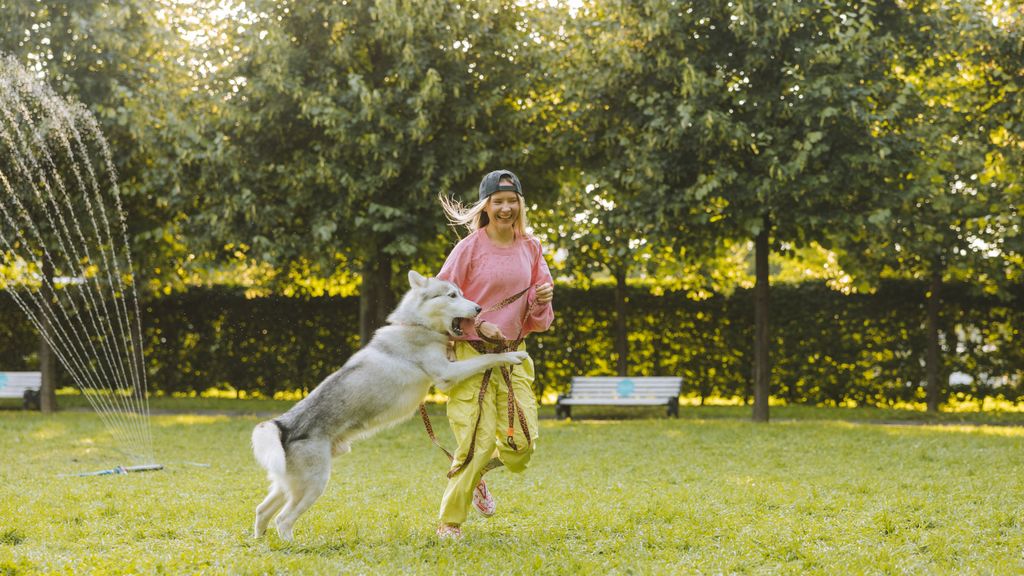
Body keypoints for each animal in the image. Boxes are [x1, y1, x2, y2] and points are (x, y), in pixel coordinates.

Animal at [248, 268, 528, 537]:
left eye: (461, 294)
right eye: (451, 296)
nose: (479, 308)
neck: (416, 324)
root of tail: (283, 424)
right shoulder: (447, 374)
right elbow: (487, 359)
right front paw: (511, 354)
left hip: (288, 483)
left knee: (262, 510)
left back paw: (261, 541)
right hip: (313, 485)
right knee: (283, 520)